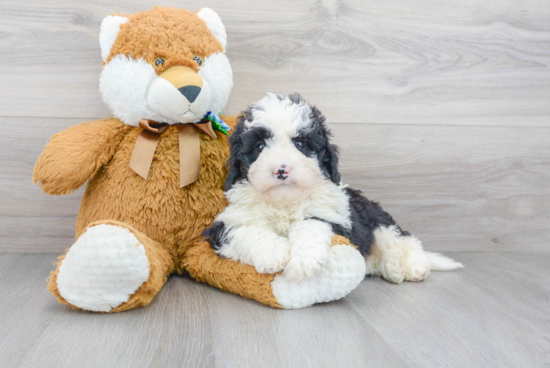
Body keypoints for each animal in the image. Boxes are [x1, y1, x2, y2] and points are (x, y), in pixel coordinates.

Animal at [205, 92, 464, 282]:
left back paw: (411, 265)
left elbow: (310, 223)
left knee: (401, 237)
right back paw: (391, 266)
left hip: (374, 216)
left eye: (301, 143)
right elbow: (247, 231)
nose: (281, 169)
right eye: (259, 147)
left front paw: (303, 261)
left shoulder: (336, 220)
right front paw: (274, 252)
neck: (285, 203)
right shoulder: (222, 225)